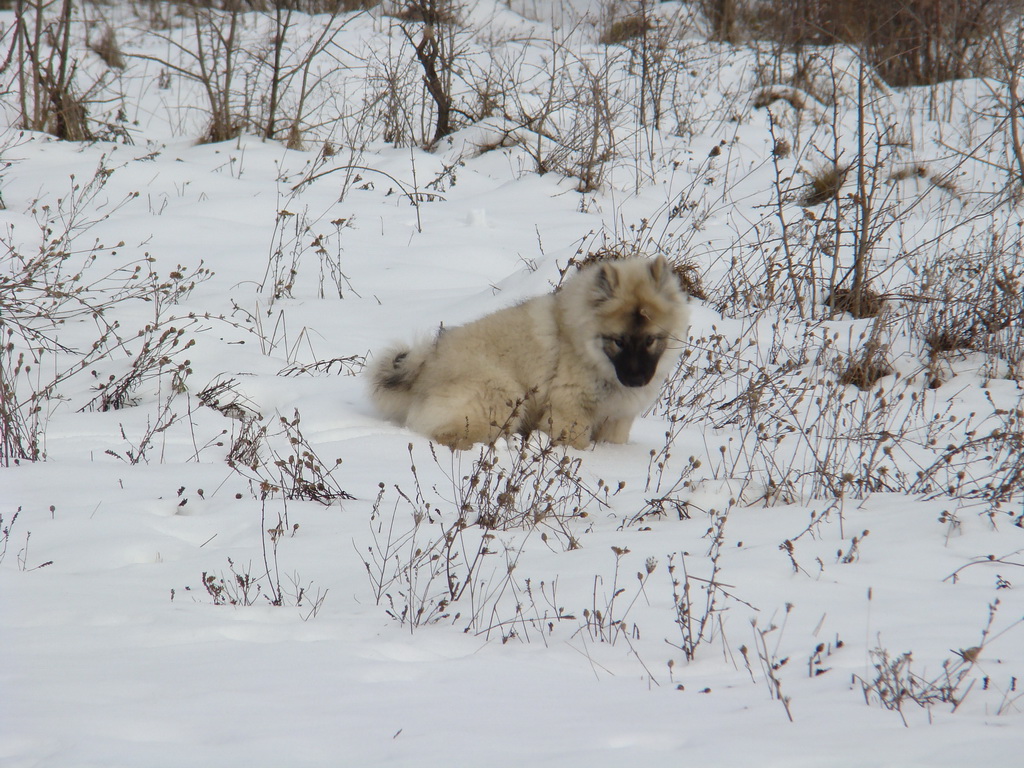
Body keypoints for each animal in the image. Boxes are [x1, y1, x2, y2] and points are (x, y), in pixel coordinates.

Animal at [368, 259, 688, 450]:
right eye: (618, 341)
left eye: (650, 340)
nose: (637, 379)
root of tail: (423, 371)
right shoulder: (569, 411)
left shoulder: (616, 420)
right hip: (503, 395)